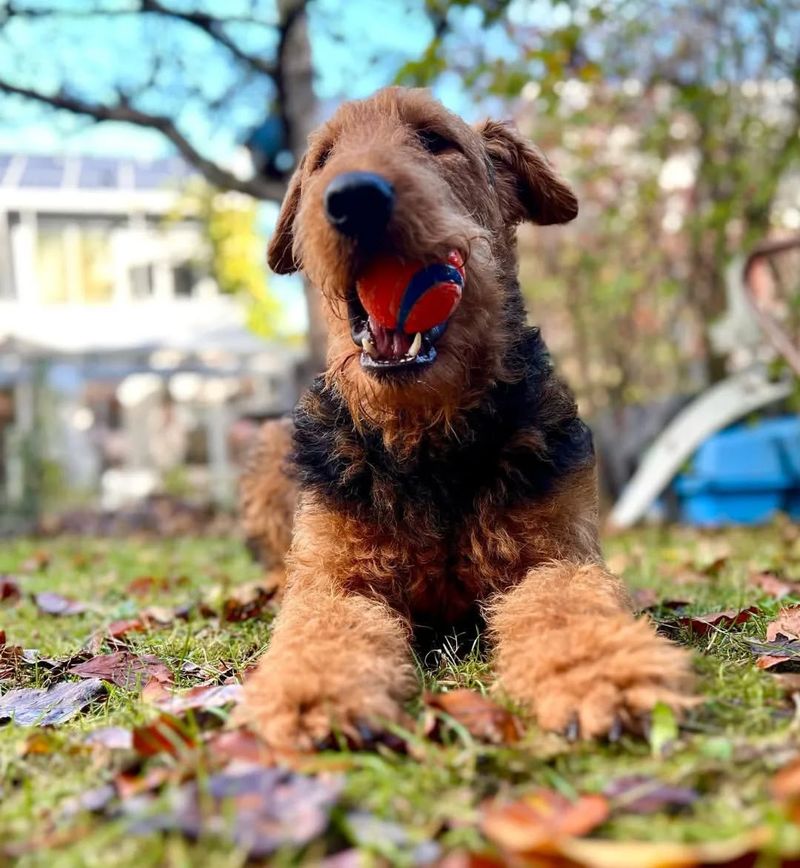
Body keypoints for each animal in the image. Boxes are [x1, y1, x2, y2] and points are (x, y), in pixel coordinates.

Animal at [236, 90, 692, 752]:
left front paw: (607, 676)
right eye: (322, 158)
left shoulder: (558, 555)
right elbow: (321, 622)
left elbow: (565, 601)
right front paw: (313, 695)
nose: (353, 197)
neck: (427, 438)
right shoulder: (336, 578)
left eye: (435, 140)